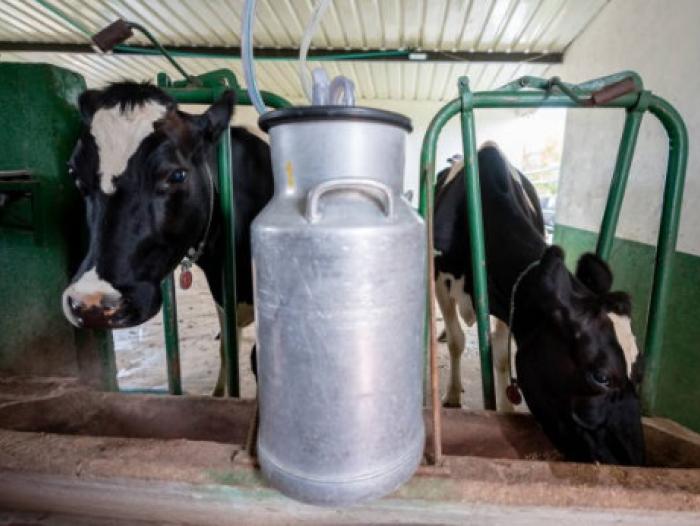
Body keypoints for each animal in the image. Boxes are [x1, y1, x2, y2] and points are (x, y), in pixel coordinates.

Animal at [61, 81, 272, 396]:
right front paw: (219, 392)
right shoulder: (224, 290)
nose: (92, 304)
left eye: (176, 175)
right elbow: (228, 347)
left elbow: (257, 358)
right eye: (75, 174)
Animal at [438, 141, 644, 466]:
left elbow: (500, 355)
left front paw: (503, 409)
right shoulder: (438, 281)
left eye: (641, 371)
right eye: (601, 377)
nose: (635, 460)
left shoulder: (508, 305)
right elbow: (457, 341)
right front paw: (453, 396)